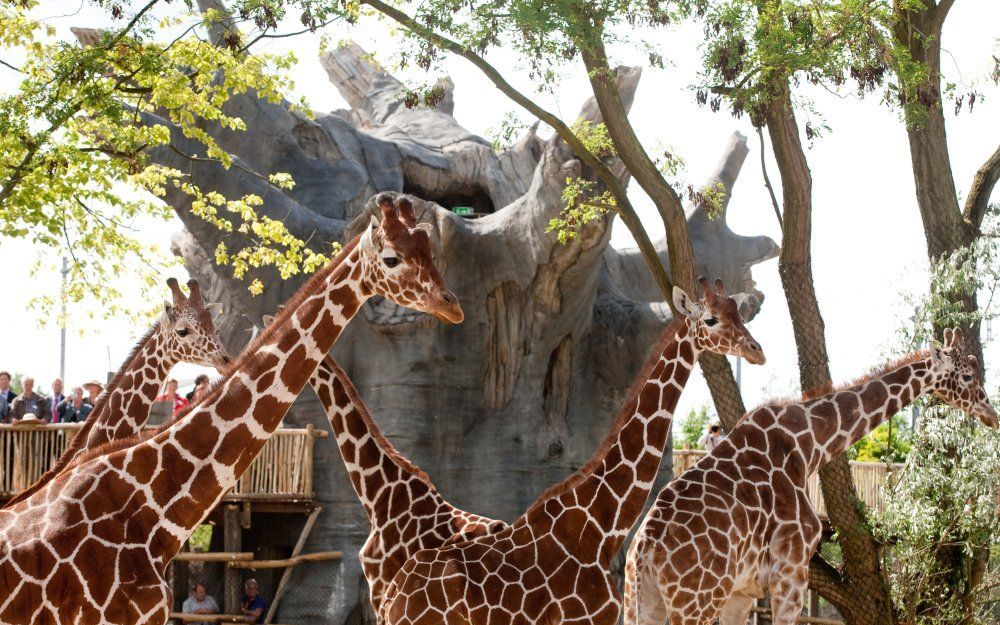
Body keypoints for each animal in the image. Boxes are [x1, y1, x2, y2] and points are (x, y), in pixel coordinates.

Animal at [376, 278, 764, 624]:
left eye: (738, 314)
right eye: (711, 319)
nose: (756, 351)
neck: (601, 528)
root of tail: (393, 598)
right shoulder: (586, 618)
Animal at [620, 326, 996, 624]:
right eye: (967, 376)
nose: (991, 414)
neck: (808, 446)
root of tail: (645, 549)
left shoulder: (744, 591)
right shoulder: (791, 573)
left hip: (641, 600)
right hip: (696, 602)